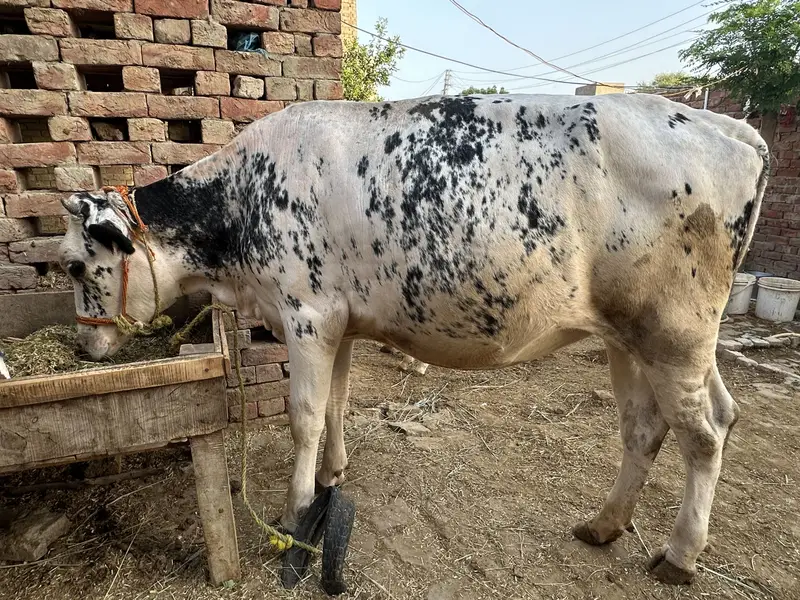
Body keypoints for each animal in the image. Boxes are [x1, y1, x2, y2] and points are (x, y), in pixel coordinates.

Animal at [57, 92, 769, 585]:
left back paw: (679, 554)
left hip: (674, 332)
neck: (241, 205)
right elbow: (338, 401)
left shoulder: (307, 313)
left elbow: (304, 415)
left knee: (704, 435)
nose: (83, 348)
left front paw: (296, 510)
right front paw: (332, 475)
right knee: (650, 426)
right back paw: (604, 524)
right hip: (633, 338)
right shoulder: (339, 321)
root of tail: (728, 127)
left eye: (71, 265)